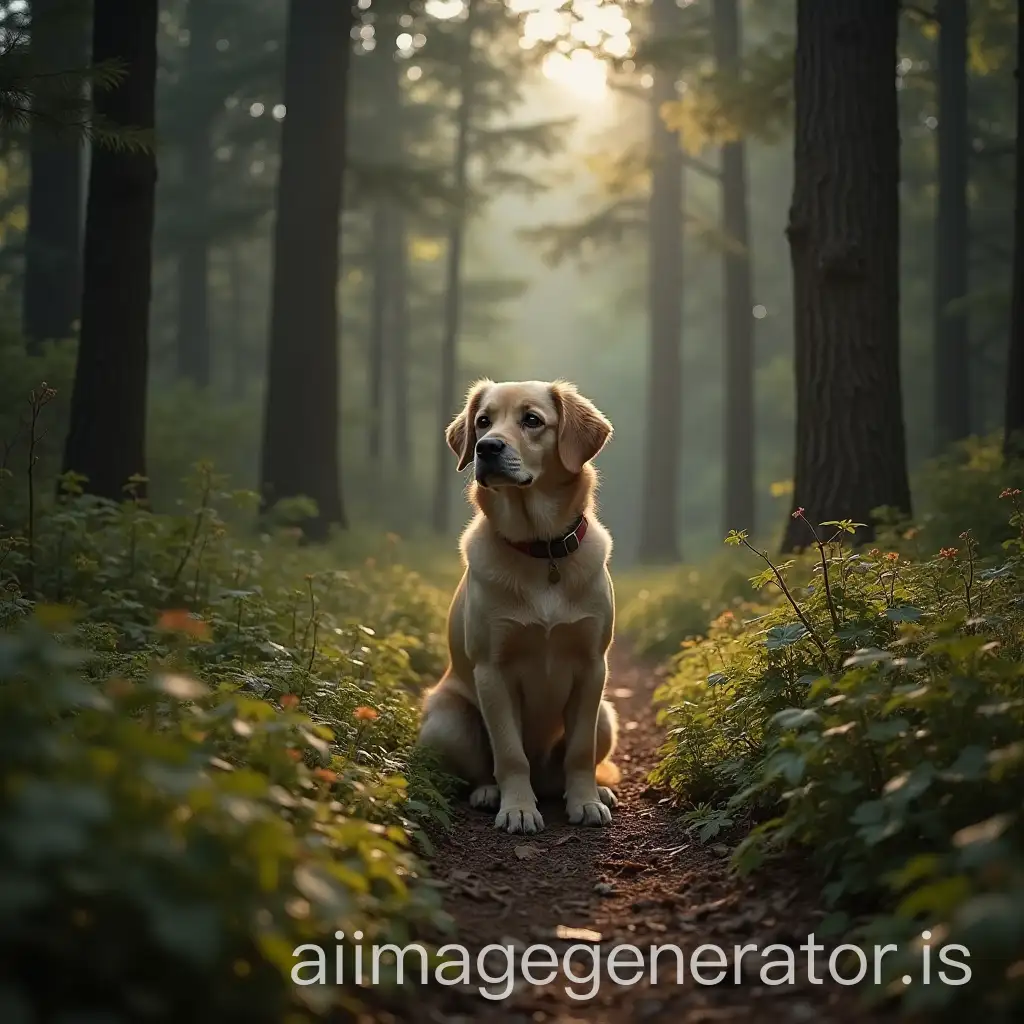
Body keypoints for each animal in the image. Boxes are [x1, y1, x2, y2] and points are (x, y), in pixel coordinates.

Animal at [413, 380, 618, 835]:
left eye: (532, 420)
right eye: (483, 421)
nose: (486, 447)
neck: (542, 550)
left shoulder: (593, 666)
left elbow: (579, 751)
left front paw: (586, 802)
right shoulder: (493, 670)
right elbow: (509, 753)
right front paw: (518, 809)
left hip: (607, 716)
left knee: (567, 768)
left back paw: (597, 790)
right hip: (447, 722)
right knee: (481, 770)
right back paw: (489, 793)